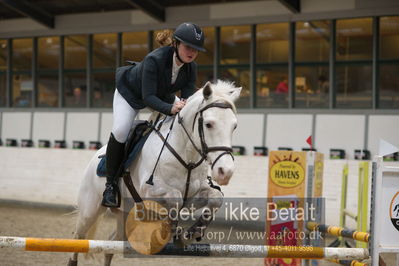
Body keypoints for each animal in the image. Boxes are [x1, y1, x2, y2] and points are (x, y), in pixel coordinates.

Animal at [68, 80, 241, 264]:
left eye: (234, 126)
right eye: (208, 124)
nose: (225, 171)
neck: (187, 158)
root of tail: (95, 156)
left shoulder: (192, 197)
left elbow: (216, 198)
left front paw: (191, 233)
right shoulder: (150, 191)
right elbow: (175, 198)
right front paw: (169, 230)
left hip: (125, 213)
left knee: (111, 244)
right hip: (90, 210)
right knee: (78, 238)